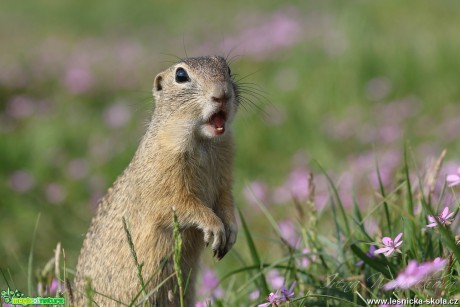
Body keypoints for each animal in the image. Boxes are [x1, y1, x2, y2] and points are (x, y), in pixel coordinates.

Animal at [73, 56, 239, 306]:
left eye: (227, 69)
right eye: (181, 75)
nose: (222, 94)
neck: (203, 142)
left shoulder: (224, 180)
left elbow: (226, 201)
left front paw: (231, 229)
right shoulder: (164, 180)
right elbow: (182, 204)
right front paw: (214, 226)